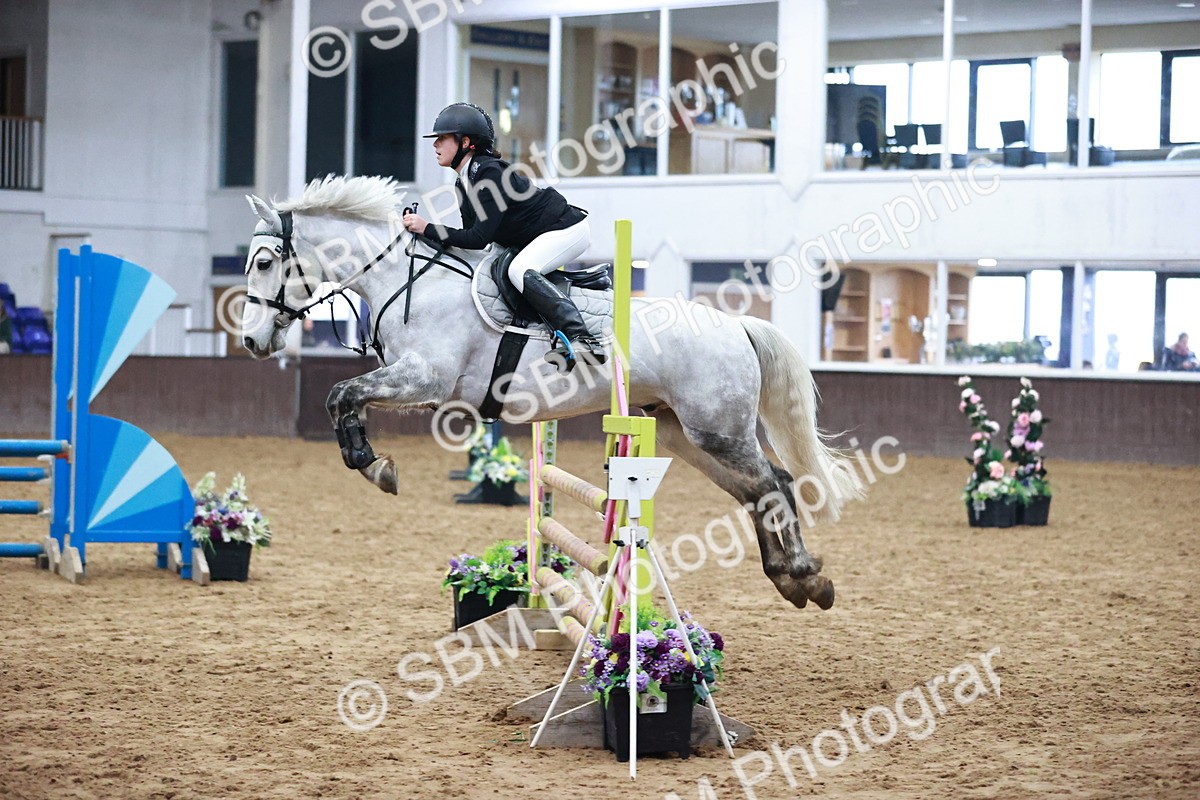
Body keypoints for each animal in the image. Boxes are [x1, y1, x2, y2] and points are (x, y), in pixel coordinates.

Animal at [240, 176, 862, 610]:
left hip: (717, 429)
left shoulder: (424, 379)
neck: (405, 278)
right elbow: (341, 397)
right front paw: (370, 462)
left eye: (265, 261)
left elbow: (342, 394)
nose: (250, 340)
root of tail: (737, 325)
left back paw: (804, 575)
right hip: (682, 433)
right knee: (761, 490)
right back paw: (795, 580)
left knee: (774, 482)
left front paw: (375, 466)